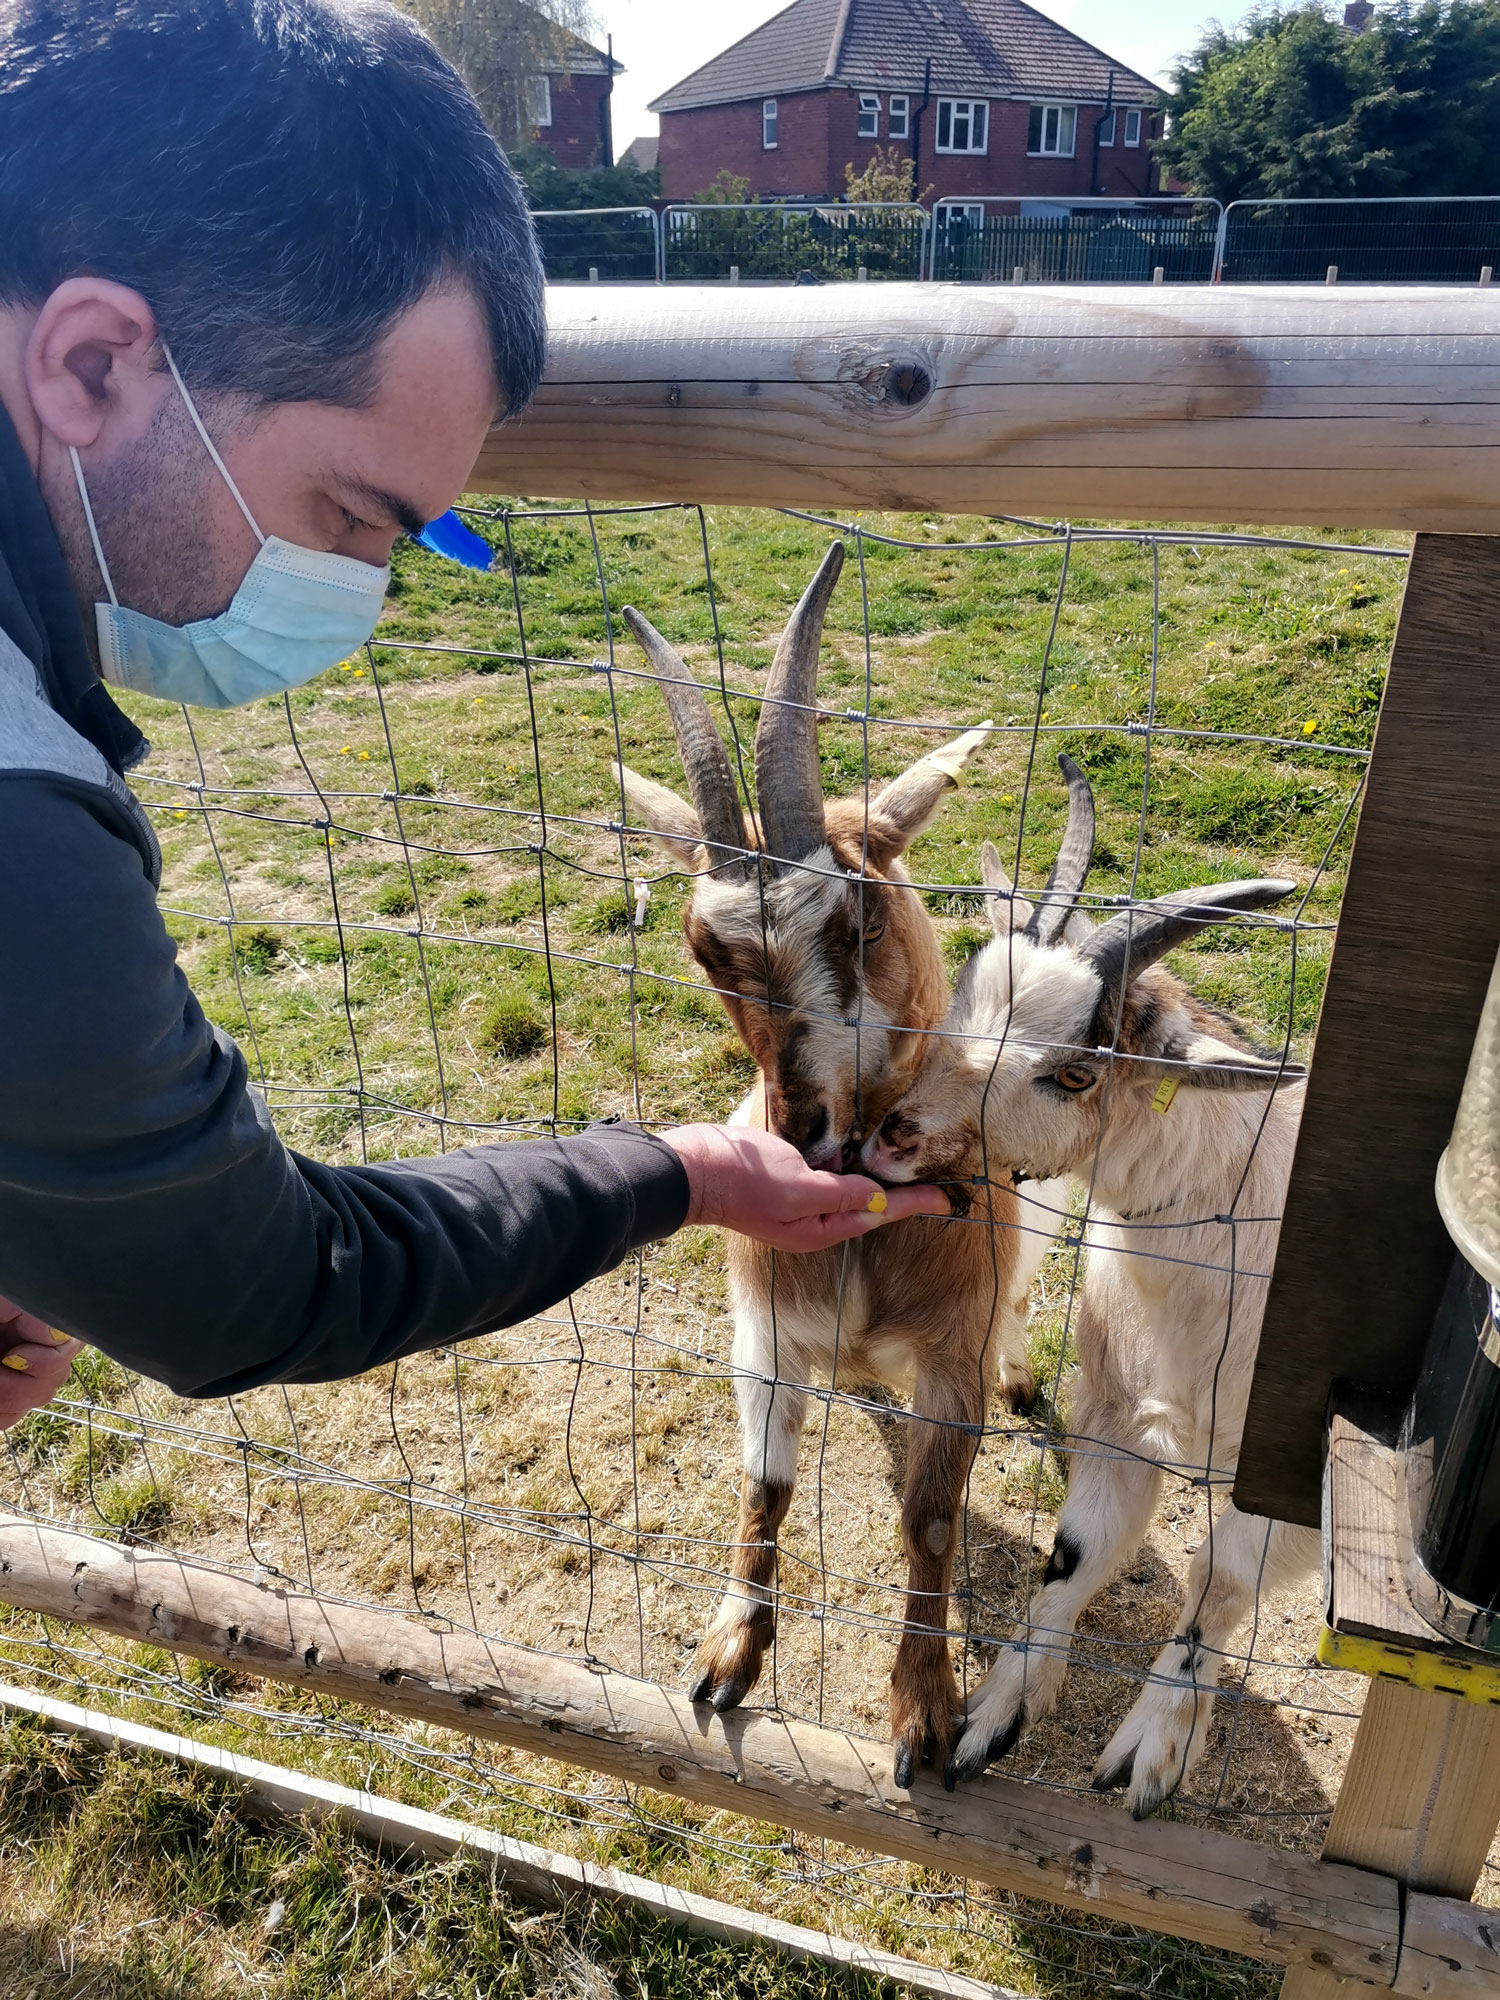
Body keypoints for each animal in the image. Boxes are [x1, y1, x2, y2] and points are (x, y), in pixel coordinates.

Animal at [615, 541, 1068, 1787]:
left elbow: (931, 1519)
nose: (801, 1129)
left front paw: (924, 1713)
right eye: (703, 945)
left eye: (858, 916)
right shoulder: (766, 1341)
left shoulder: (951, 1360)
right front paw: (728, 1653)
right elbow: (766, 1486)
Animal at [861, 753, 1319, 1816]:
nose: (887, 1140)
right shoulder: (1115, 1414)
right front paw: (989, 1718)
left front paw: (1151, 1754)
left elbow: (1219, 1583)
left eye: (1075, 1073)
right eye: (965, 996)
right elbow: (1075, 1553)